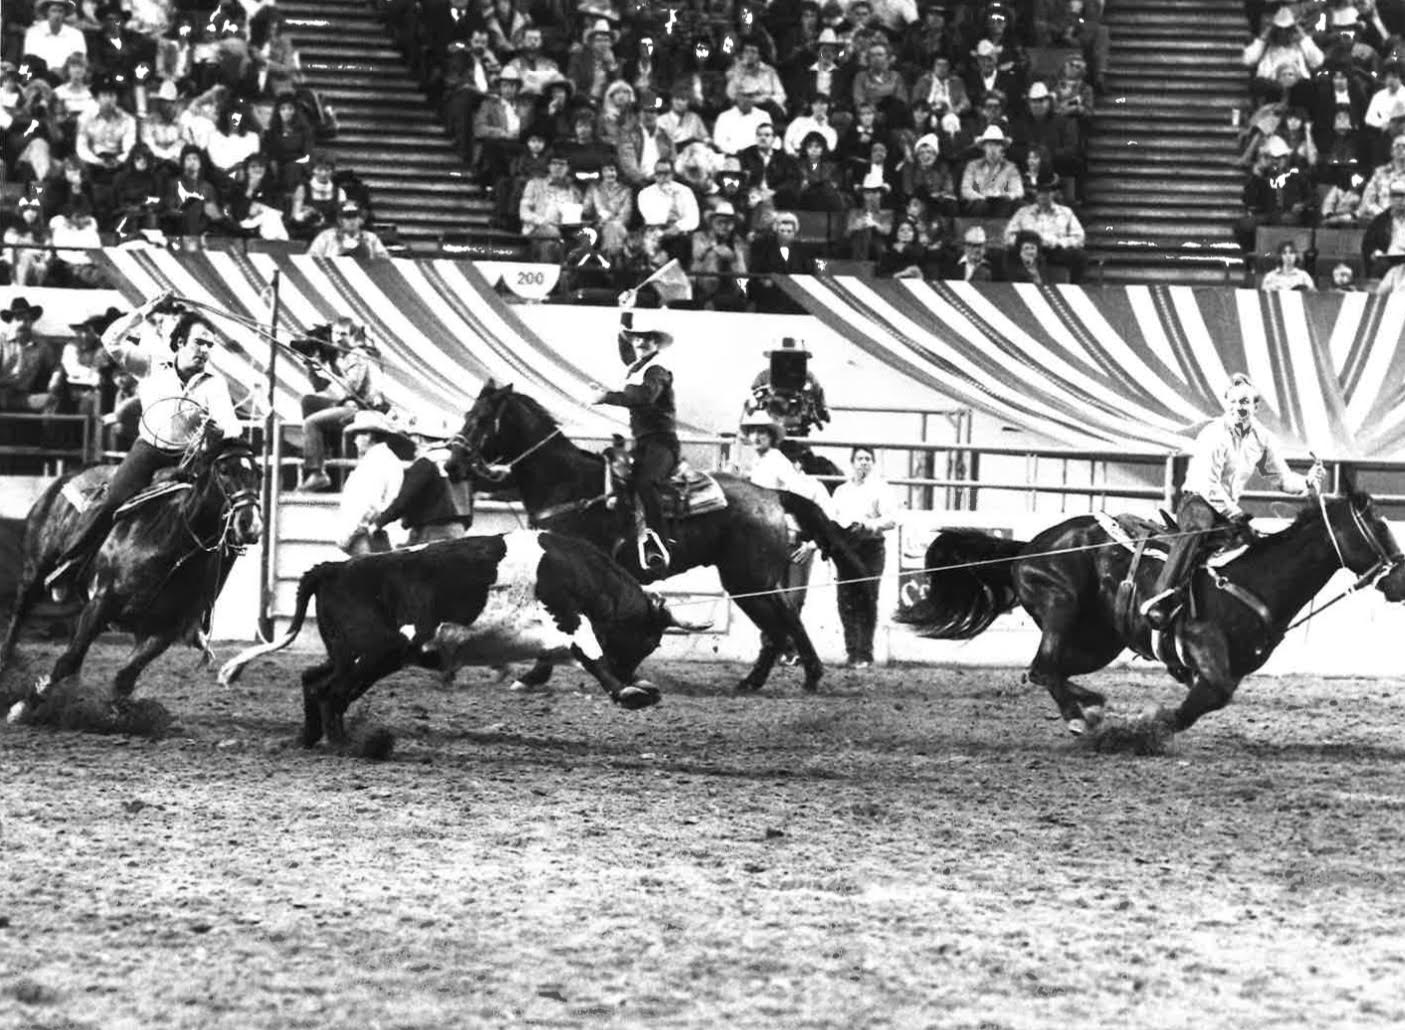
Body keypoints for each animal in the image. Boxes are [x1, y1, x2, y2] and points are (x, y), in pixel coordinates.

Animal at [4, 421, 264, 711]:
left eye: (259, 473)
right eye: (224, 470)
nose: (250, 525)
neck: (173, 545)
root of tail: (67, 476)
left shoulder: (164, 630)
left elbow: (125, 676)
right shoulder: (101, 603)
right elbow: (68, 660)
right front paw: (22, 708)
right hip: (35, 570)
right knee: (19, 614)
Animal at [446, 379, 865, 691]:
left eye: (481, 419)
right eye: (467, 415)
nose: (452, 463)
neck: (567, 483)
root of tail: (770, 494)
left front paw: (534, 676)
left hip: (750, 577)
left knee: (784, 622)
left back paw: (797, 677)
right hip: (751, 580)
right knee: (781, 624)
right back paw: (768, 679)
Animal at [899, 494, 1405, 736]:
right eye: (1379, 528)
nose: (1399, 579)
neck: (1256, 577)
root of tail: (1028, 547)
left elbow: (1208, 699)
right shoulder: (1204, 649)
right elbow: (1210, 696)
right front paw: (1151, 727)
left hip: (1100, 640)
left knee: (1049, 670)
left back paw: (1091, 705)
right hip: (1060, 604)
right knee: (1044, 668)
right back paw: (1082, 716)